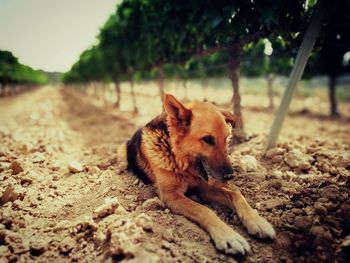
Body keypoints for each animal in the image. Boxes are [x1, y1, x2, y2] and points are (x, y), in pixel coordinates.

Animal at [124, 94, 274, 256]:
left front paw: (257, 221)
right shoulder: (171, 196)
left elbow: (236, 195)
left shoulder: (203, 187)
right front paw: (229, 236)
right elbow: (204, 209)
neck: (181, 163)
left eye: (226, 138)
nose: (230, 176)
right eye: (208, 139)